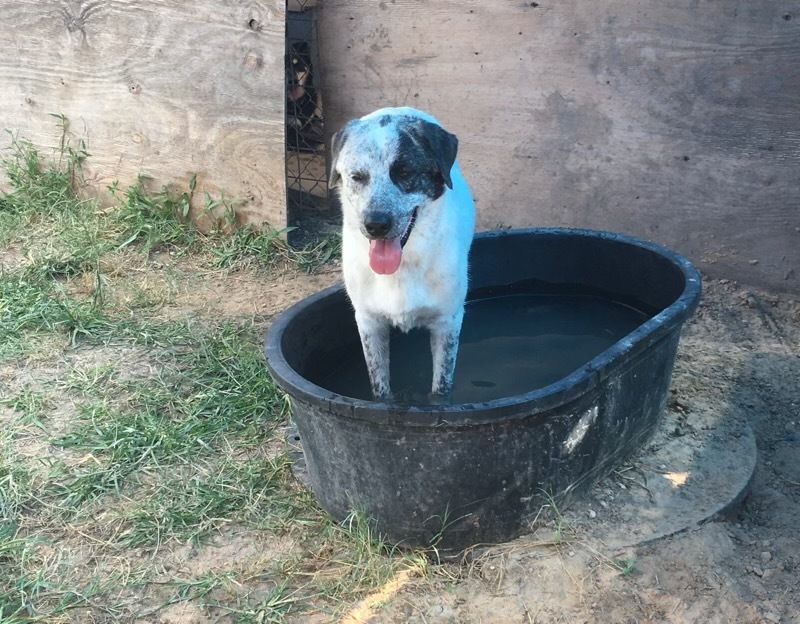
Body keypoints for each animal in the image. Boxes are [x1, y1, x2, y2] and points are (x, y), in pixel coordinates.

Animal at [330, 106, 476, 400]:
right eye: (357, 176)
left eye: (405, 171)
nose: (375, 224)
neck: (402, 269)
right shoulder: (369, 323)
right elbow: (380, 390)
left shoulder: (448, 322)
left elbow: (441, 390)